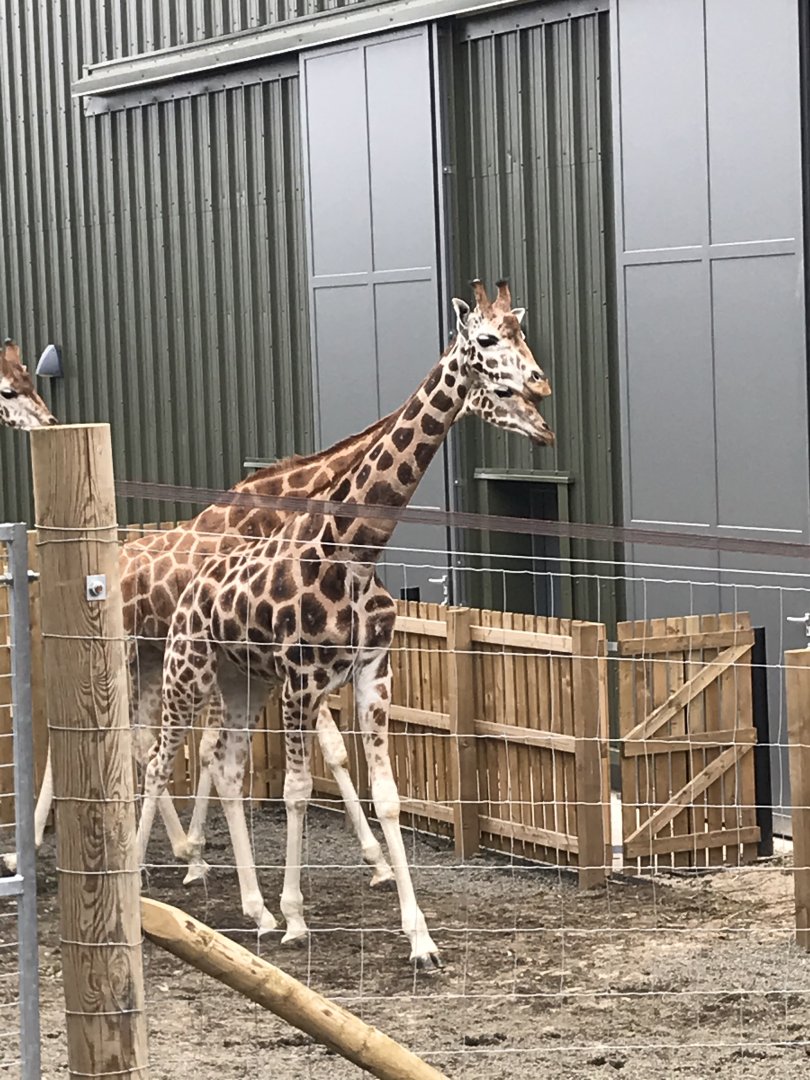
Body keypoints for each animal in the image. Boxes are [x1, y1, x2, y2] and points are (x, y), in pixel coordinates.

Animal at [137, 280, 554, 967]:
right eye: (487, 342)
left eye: (524, 335)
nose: (542, 397)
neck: (355, 551)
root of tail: (193, 581)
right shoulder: (302, 681)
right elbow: (298, 790)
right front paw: (297, 917)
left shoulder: (372, 673)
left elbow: (386, 794)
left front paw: (420, 938)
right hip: (185, 671)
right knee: (158, 759)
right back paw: (151, 882)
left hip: (242, 682)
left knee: (225, 764)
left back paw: (252, 909)